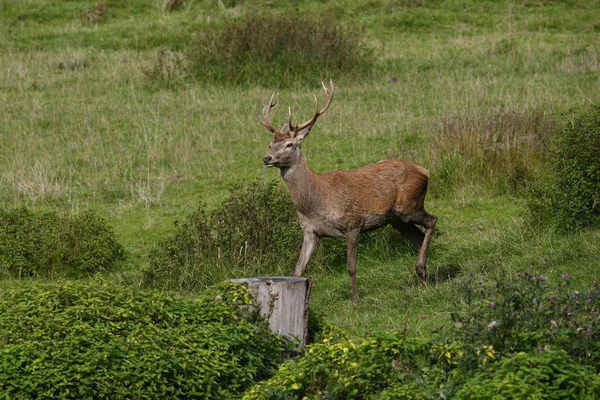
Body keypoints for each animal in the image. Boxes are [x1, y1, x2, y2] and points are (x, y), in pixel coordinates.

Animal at [256, 80, 436, 300]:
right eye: (271, 144)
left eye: (289, 144)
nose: (267, 158)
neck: (316, 202)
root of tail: (424, 170)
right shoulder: (310, 231)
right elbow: (298, 269)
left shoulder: (353, 224)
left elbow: (351, 267)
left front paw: (356, 299)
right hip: (397, 220)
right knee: (419, 238)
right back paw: (422, 280)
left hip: (410, 206)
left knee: (432, 221)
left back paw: (421, 270)